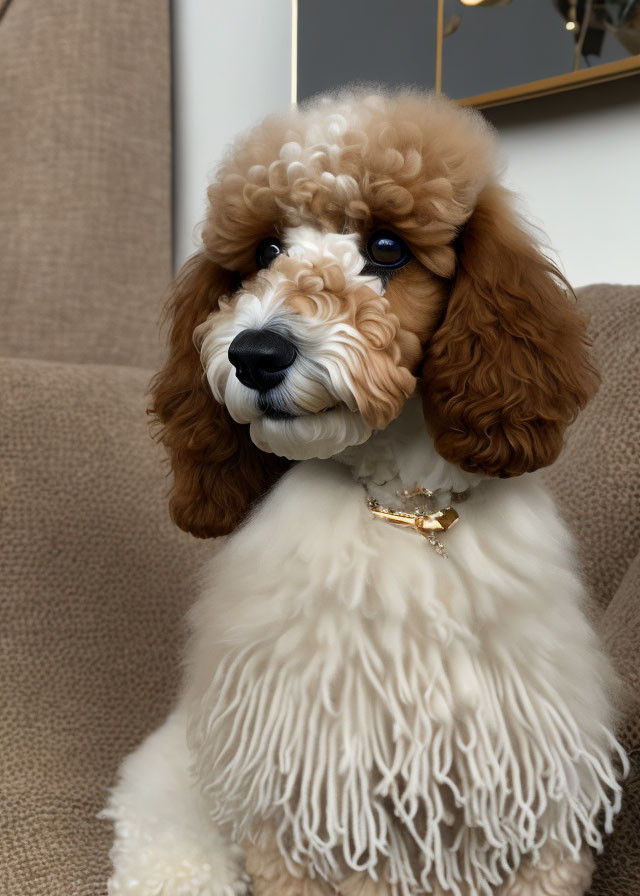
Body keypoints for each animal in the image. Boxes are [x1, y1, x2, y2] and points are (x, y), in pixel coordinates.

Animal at [104, 89, 624, 896]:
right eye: (266, 252)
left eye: (385, 248)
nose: (254, 354)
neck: (410, 505)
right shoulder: (313, 791)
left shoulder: (537, 780)